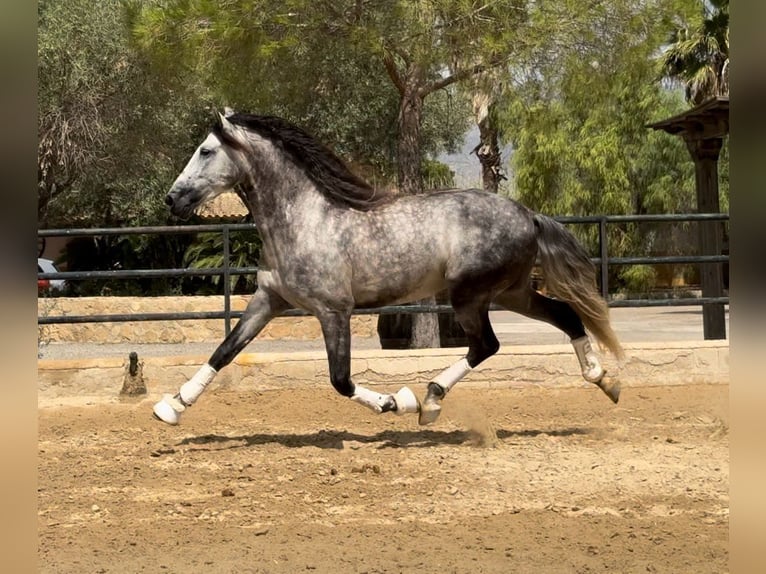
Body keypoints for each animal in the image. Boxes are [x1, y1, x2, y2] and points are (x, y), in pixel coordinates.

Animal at [153, 112, 628, 428]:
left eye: (206, 151)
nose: (172, 199)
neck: (303, 220)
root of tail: (527, 214)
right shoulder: (269, 301)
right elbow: (225, 350)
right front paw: (171, 406)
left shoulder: (333, 311)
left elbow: (340, 379)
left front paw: (395, 402)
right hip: (511, 292)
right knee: (564, 315)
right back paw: (604, 380)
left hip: (470, 296)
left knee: (486, 345)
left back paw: (430, 401)